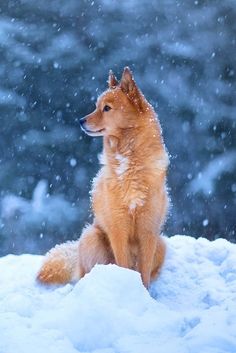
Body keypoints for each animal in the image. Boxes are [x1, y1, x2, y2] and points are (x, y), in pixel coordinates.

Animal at [37, 67, 169, 288]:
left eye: (107, 108)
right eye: (96, 106)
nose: (80, 121)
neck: (129, 163)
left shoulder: (148, 230)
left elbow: (144, 273)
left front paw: (144, 293)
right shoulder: (118, 229)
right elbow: (124, 264)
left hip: (161, 243)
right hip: (91, 237)